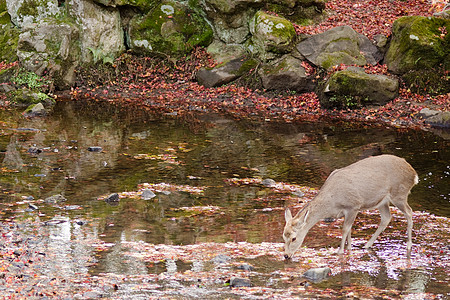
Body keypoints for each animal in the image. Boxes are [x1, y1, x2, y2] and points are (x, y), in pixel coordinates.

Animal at [284, 154, 418, 258]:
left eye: (294, 238)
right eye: (283, 236)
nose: (286, 255)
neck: (332, 202)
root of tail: (414, 174)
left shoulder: (354, 206)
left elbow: (345, 229)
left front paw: (340, 251)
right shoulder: (346, 211)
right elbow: (348, 229)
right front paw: (349, 248)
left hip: (399, 194)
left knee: (409, 212)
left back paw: (409, 245)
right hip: (382, 201)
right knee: (386, 218)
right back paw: (367, 245)